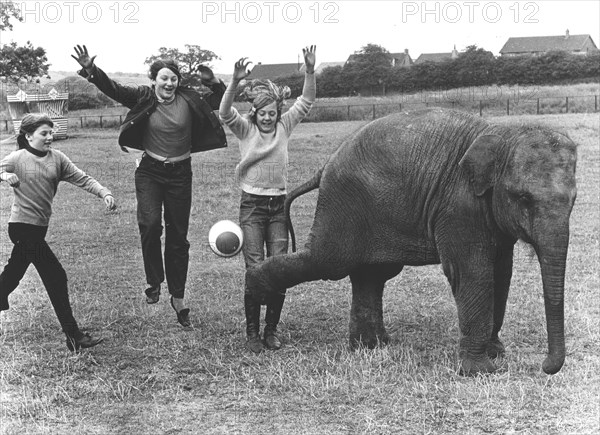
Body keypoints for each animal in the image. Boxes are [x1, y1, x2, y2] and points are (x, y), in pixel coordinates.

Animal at [245, 108, 576, 374]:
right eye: (523, 198)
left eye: (574, 200)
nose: (545, 366)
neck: (500, 134)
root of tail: (325, 166)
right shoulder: (458, 207)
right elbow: (472, 273)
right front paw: (481, 371)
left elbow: (501, 273)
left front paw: (497, 354)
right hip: (343, 202)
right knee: (329, 262)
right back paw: (255, 308)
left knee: (371, 274)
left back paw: (370, 346)